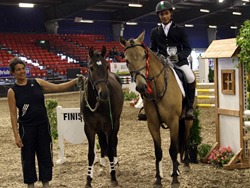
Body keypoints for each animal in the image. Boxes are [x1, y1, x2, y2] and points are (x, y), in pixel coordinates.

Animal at [82, 46, 124, 187]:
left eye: (106, 66)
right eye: (91, 68)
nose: (104, 93)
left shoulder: (109, 127)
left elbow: (110, 149)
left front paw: (113, 177)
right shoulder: (89, 128)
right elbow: (91, 154)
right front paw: (88, 180)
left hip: (116, 123)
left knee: (114, 142)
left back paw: (115, 165)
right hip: (99, 130)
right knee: (102, 142)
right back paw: (101, 166)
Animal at [120, 31, 196, 187]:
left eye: (144, 56)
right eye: (127, 60)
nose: (141, 87)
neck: (157, 88)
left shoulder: (173, 122)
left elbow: (172, 150)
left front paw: (174, 180)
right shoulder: (153, 124)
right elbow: (158, 151)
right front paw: (158, 179)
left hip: (186, 121)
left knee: (185, 138)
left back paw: (185, 165)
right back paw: (176, 169)